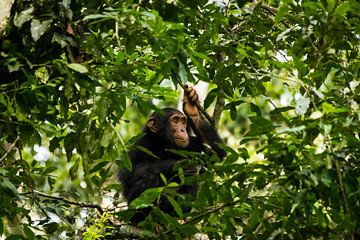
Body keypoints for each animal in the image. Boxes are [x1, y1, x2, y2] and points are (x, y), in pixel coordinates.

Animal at [119, 86, 225, 223]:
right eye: (175, 120)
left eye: (183, 121)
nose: (182, 129)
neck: (163, 143)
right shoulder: (139, 146)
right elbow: (130, 173)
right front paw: (179, 165)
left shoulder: (191, 144)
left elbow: (215, 154)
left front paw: (191, 108)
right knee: (149, 177)